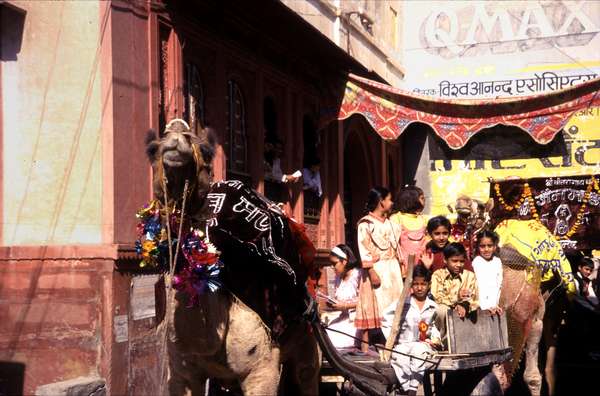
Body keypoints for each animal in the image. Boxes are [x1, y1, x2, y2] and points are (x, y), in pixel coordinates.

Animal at [146, 119, 322, 394]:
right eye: (152, 148)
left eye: (206, 151)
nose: (176, 135)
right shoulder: (181, 372)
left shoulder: (263, 368)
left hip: (306, 341)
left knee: (307, 374)